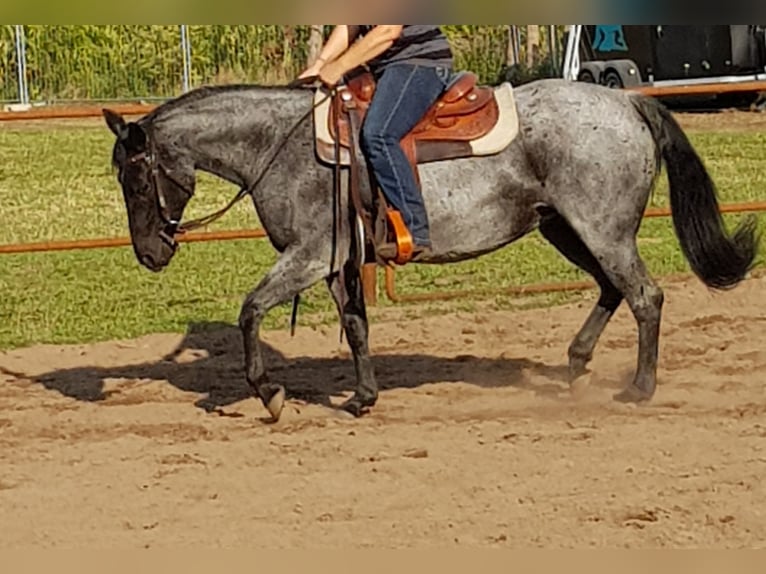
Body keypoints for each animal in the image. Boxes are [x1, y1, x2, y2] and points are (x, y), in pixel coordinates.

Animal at [102, 75, 758, 422]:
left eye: (135, 177)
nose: (150, 254)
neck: (281, 147)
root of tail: (627, 102)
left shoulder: (310, 255)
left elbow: (251, 309)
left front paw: (270, 394)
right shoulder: (339, 264)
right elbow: (356, 326)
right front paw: (363, 397)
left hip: (602, 228)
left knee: (644, 295)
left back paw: (639, 388)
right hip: (567, 228)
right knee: (609, 289)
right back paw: (575, 364)